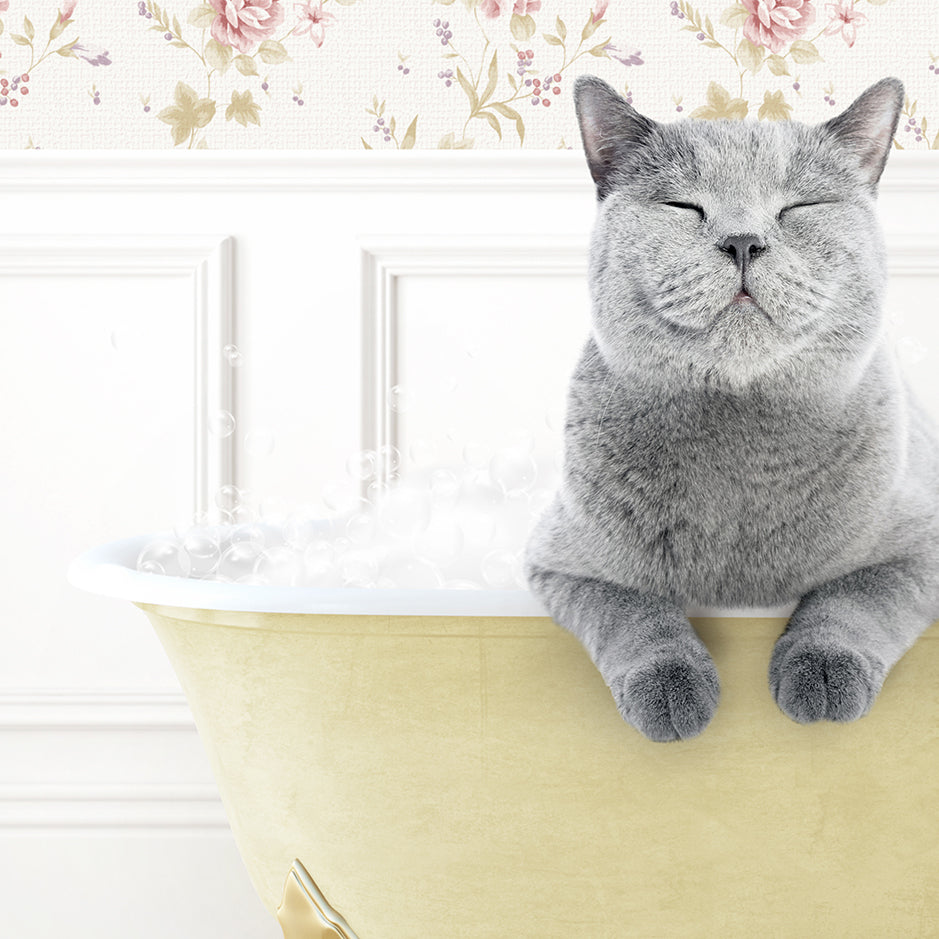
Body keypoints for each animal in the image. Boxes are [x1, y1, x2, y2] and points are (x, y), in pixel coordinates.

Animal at [524, 75, 939, 740]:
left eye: (798, 208)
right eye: (683, 207)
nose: (743, 241)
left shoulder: (921, 544)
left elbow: (853, 599)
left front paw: (822, 674)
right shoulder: (564, 563)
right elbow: (633, 611)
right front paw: (672, 689)